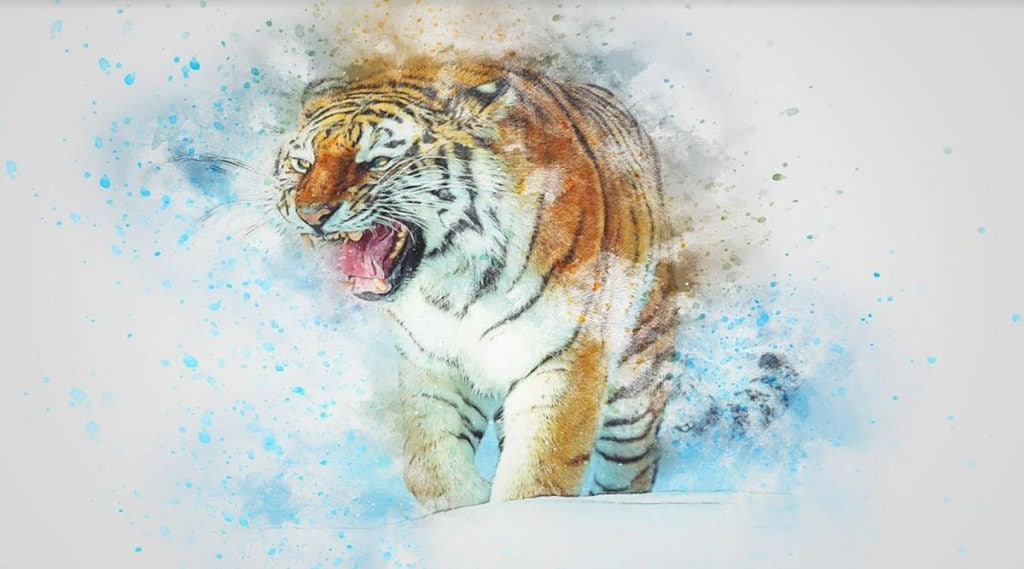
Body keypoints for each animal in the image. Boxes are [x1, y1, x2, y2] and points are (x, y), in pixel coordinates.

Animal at [271, 57, 699, 511]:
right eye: (303, 163)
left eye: (378, 162)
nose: (310, 213)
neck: (452, 281)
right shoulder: (431, 365)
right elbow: (430, 467)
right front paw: (469, 505)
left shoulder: (565, 359)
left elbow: (538, 474)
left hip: (635, 392)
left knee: (632, 467)